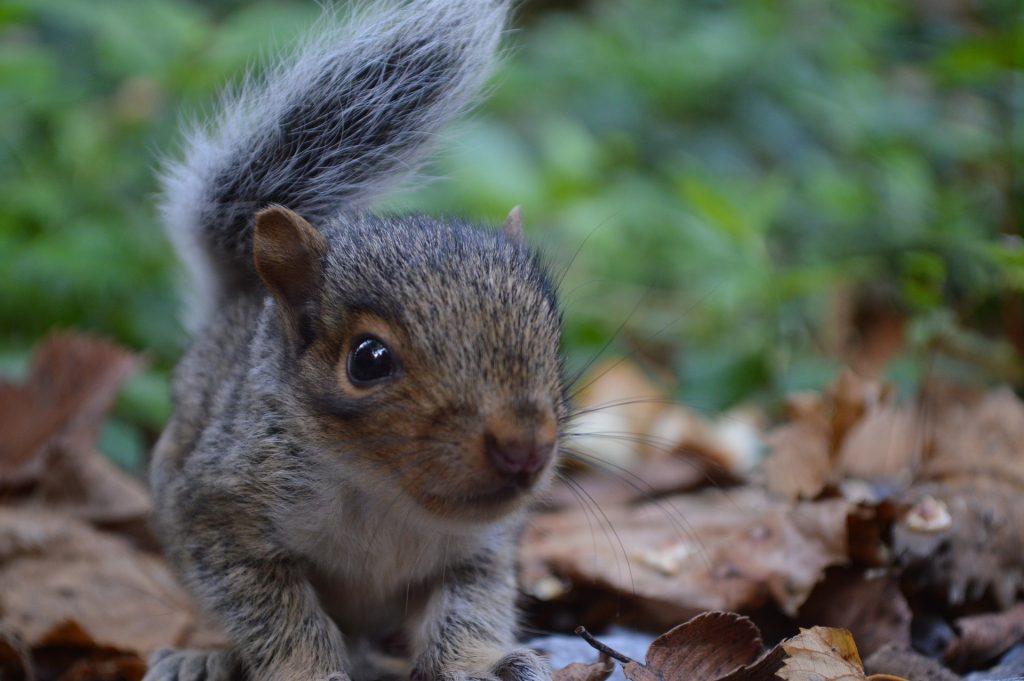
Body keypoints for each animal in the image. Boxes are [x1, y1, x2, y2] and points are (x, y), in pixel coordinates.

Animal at [146, 1, 565, 681]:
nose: (525, 448)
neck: (384, 494)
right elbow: (280, 618)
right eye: (369, 360)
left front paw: (484, 664)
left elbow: (469, 609)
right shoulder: (217, 516)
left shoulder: (481, 547)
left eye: (553, 336)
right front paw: (306, 670)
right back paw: (200, 660)